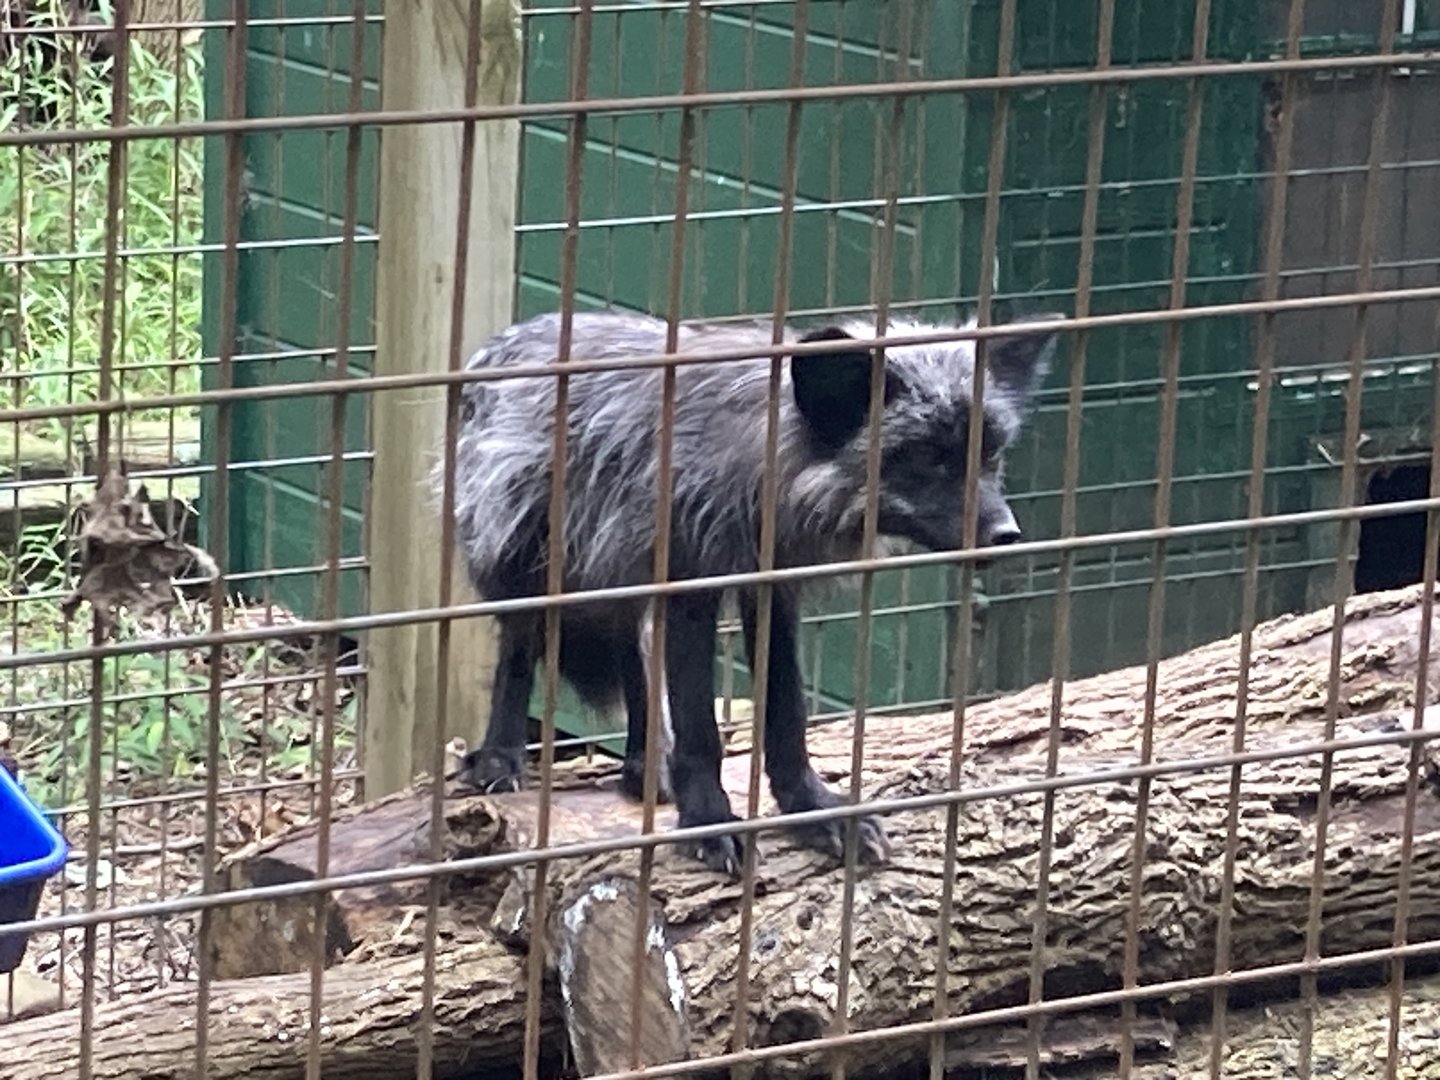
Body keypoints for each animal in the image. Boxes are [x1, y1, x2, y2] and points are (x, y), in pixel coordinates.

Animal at [440, 309, 1060, 876]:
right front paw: (710, 823)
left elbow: (787, 718)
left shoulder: (773, 590)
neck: (764, 466)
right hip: (530, 562)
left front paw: (813, 809)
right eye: (930, 458)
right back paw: (501, 759)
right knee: (521, 651)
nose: (1007, 535)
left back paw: (645, 766)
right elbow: (701, 733)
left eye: (990, 454)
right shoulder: (693, 587)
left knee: (634, 659)